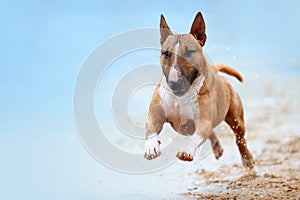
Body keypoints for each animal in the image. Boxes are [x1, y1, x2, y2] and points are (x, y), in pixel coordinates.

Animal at [144, 12, 254, 169]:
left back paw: (247, 159)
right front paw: (151, 146)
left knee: (240, 138)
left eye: (189, 52)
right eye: (165, 53)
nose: (174, 83)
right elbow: (151, 127)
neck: (181, 97)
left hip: (236, 118)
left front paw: (187, 151)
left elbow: (198, 135)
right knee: (213, 132)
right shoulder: (156, 113)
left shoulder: (204, 120)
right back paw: (217, 148)